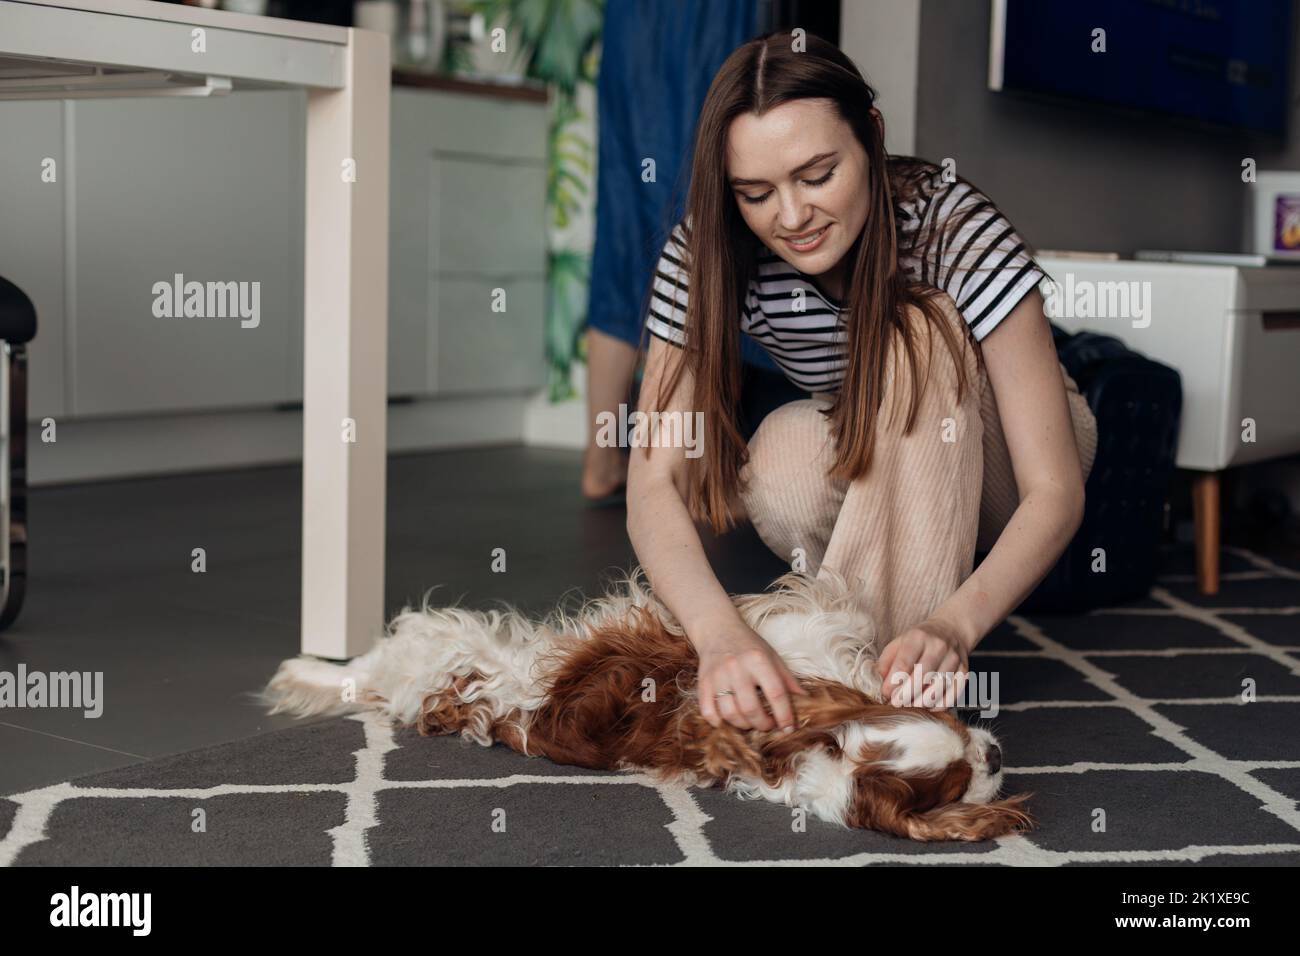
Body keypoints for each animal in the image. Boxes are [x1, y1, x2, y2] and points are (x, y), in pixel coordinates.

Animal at [266, 564, 1034, 842]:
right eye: (957, 775)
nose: (996, 752)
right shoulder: (784, 652)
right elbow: (826, 610)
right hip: (446, 637)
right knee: (368, 659)